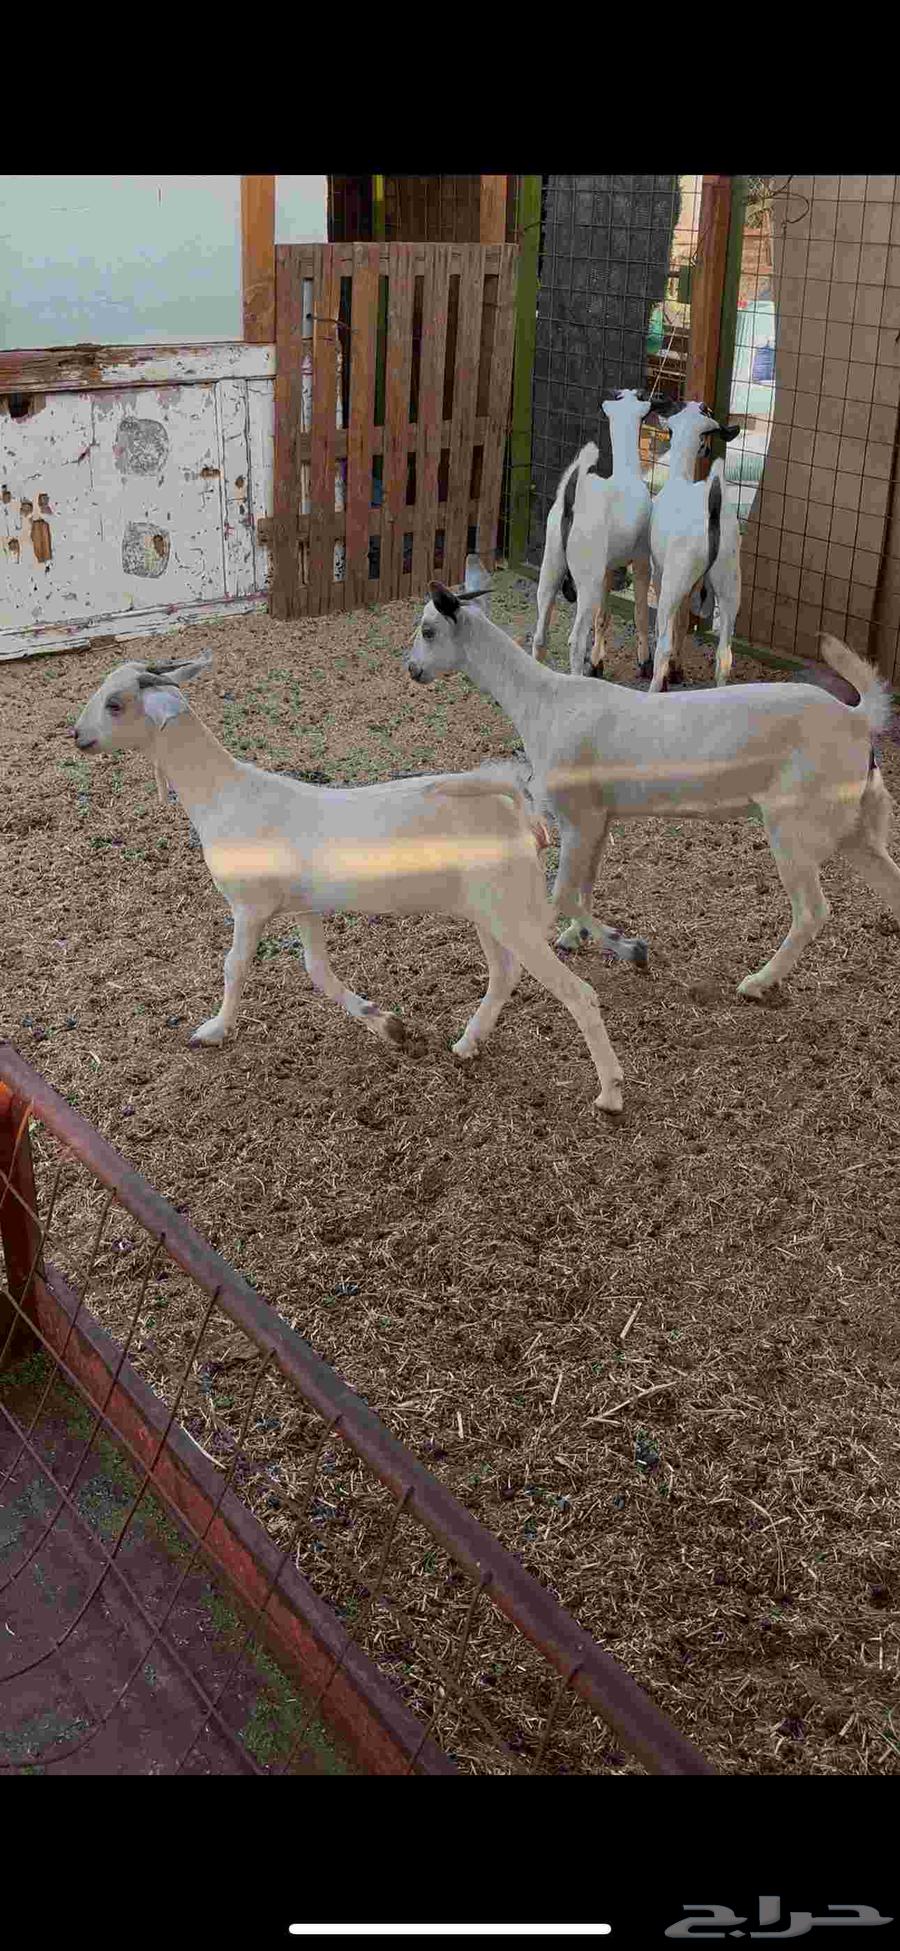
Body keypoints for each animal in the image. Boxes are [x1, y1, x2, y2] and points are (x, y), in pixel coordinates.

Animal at [72, 653, 626, 1113]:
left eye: (116, 704)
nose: (78, 736)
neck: (223, 793)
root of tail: (516, 811)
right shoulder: (304, 906)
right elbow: (318, 970)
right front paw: (390, 1026)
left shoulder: (249, 907)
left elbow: (234, 968)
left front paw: (212, 1031)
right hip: (489, 911)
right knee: (504, 974)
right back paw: (467, 1043)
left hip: (509, 910)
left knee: (577, 994)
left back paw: (611, 1093)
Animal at [406, 560, 900, 996]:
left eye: (428, 630)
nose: (413, 670)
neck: (543, 703)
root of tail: (859, 720)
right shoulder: (600, 816)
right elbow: (585, 887)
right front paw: (575, 937)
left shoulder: (577, 814)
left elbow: (563, 894)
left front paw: (629, 947)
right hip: (856, 825)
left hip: (794, 824)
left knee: (812, 911)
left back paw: (758, 983)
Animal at [532, 389, 664, 680]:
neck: (627, 472)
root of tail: (570, 501)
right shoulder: (641, 561)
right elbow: (640, 613)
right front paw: (644, 661)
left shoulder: (606, 570)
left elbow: (603, 616)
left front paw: (598, 663)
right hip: (586, 583)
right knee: (575, 640)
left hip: (551, 569)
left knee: (540, 634)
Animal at [645, 400, 742, 693]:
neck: (680, 478)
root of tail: (713, 509)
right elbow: (684, 622)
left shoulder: (660, 572)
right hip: (730, 582)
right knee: (725, 655)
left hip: (674, 581)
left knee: (663, 645)